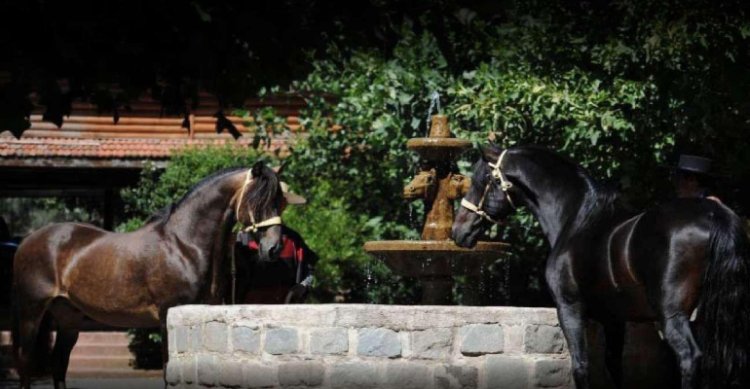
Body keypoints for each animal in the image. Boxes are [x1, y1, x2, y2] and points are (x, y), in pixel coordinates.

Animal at [11, 160, 288, 384]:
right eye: (257, 200)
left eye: (279, 202)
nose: (273, 248)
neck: (183, 244)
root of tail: (27, 241)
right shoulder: (167, 315)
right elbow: (167, 370)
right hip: (32, 311)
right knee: (25, 363)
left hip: (68, 317)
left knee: (59, 365)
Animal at [452, 145, 750, 388]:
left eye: (482, 180)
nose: (458, 231)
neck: (577, 219)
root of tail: (714, 214)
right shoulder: (614, 319)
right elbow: (613, 367)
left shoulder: (570, 308)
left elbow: (581, 367)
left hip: (673, 316)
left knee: (690, 358)